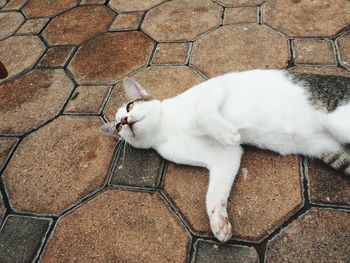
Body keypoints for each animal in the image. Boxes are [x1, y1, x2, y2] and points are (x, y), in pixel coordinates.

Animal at [100, 69, 350, 243]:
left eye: (130, 106)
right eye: (117, 128)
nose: (124, 121)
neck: (165, 126)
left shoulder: (215, 86)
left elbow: (204, 113)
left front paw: (225, 131)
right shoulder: (225, 156)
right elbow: (214, 192)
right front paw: (218, 220)